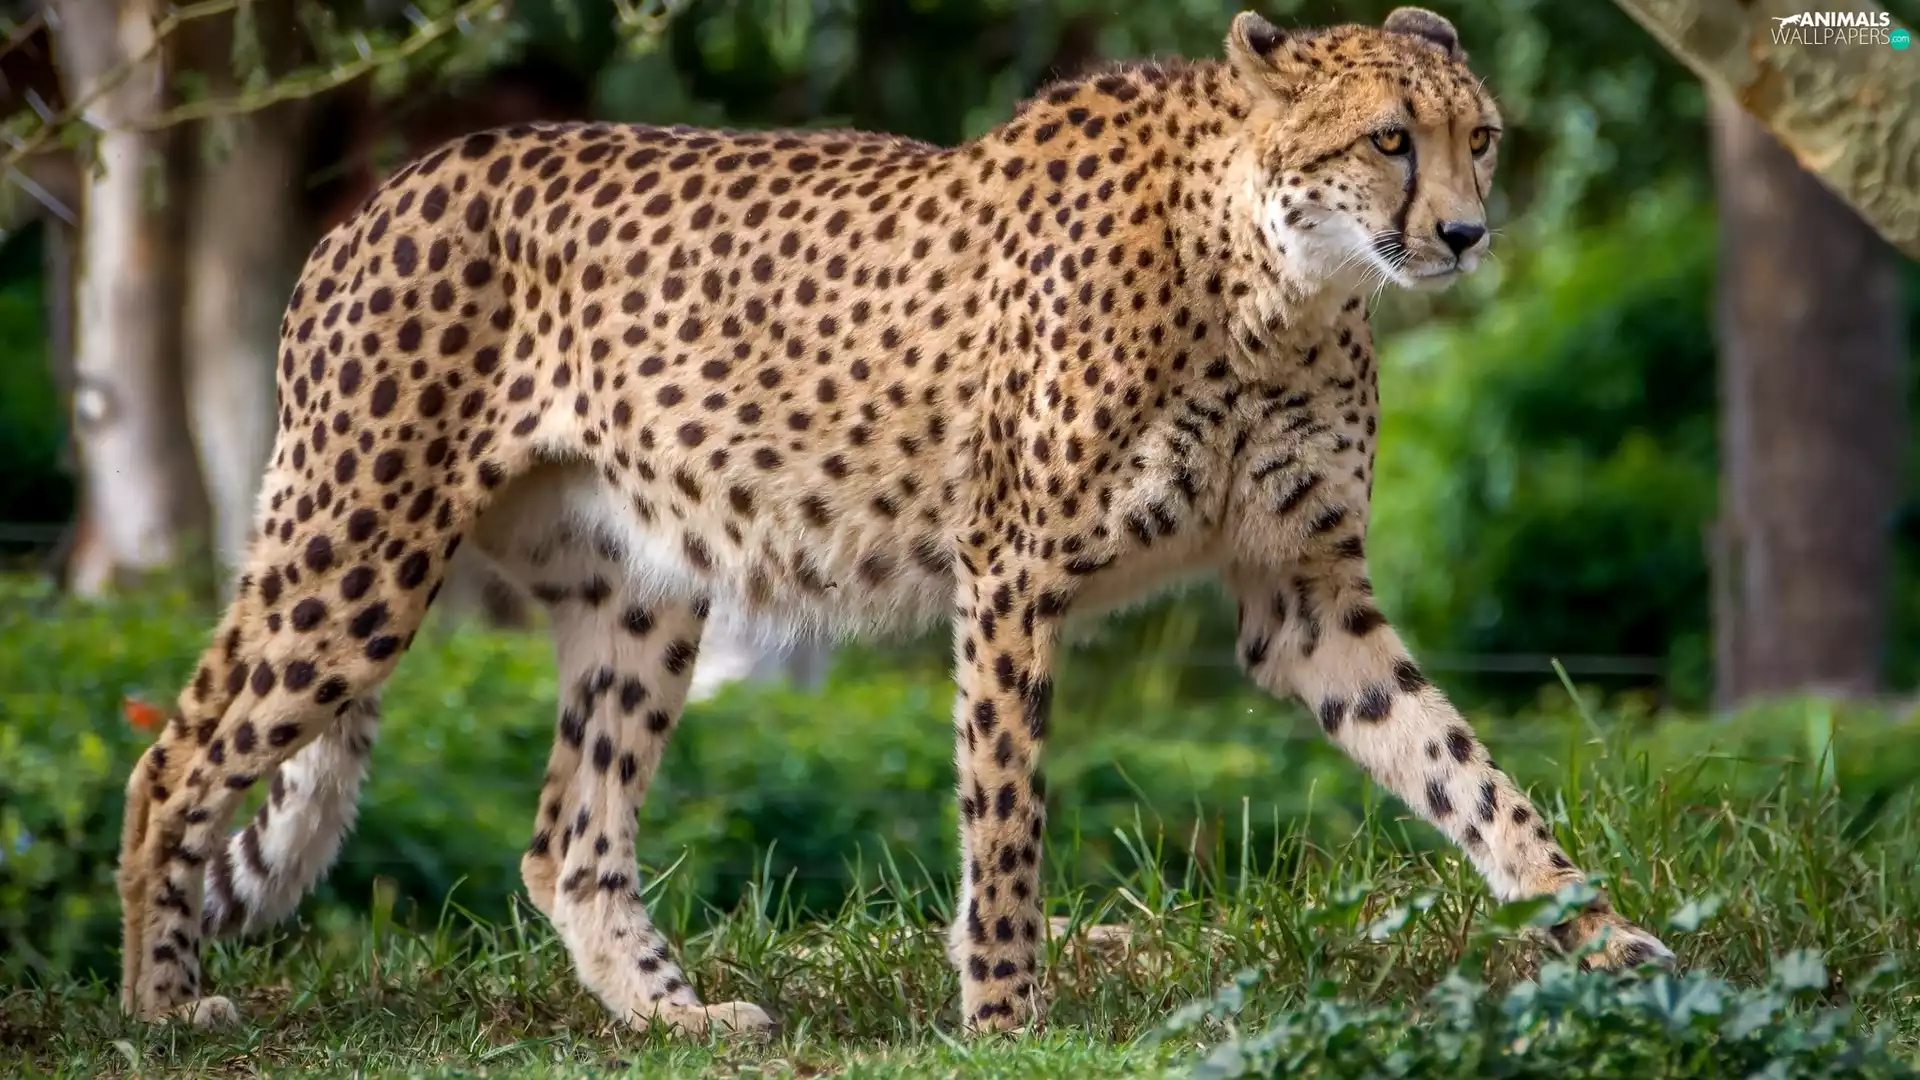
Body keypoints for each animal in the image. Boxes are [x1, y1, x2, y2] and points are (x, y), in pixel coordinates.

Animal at [113, 6, 1676, 1039]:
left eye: (1483, 139)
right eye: (1390, 140)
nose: (1467, 233)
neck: (1280, 283)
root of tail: (385, 194)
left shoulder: (1302, 598)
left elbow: (1469, 772)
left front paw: (1603, 936)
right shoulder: (1014, 571)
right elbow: (1006, 809)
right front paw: (1006, 1014)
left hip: (639, 587)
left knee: (569, 836)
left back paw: (679, 1021)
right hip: (359, 550)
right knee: (172, 756)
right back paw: (160, 1003)